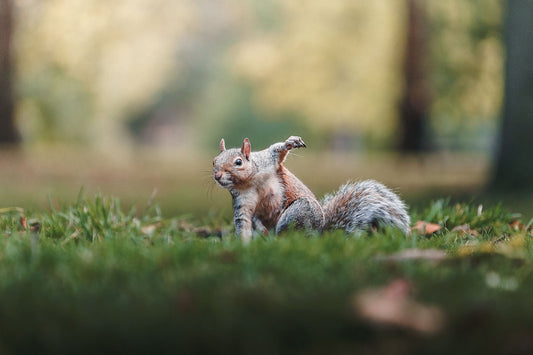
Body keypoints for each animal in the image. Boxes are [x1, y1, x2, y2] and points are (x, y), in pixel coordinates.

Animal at [213, 136, 412, 242]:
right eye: (214, 161)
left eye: (238, 162)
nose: (217, 176)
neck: (249, 181)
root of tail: (320, 233)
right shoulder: (243, 202)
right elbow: (244, 221)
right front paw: (243, 244)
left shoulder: (267, 161)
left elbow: (277, 151)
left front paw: (290, 142)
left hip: (299, 211)